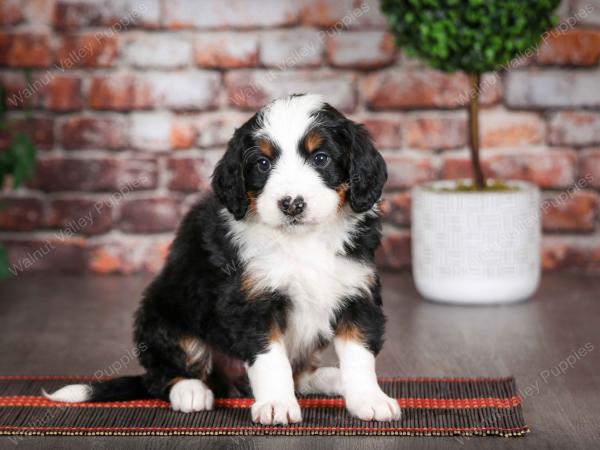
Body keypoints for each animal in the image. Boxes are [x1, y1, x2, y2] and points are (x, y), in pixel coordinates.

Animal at [45, 93, 398, 424]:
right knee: (162, 376)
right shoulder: (251, 300)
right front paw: (276, 405)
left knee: (300, 374)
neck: (302, 240)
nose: (291, 204)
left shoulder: (357, 291)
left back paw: (329, 378)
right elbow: (271, 359)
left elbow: (359, 354)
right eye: (263, 164)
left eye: (321, 158)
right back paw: (191, 391)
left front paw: (369, 399)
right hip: (162, 316)